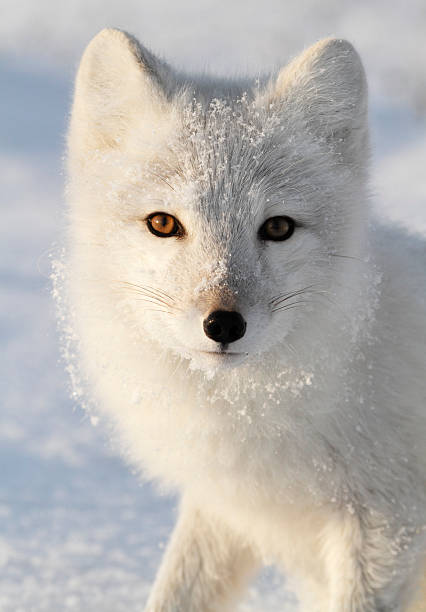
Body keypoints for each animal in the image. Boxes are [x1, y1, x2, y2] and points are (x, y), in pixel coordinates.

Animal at [63, 29, 426, 612]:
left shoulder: (384, 523)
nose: (224, 326)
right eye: (162, 223)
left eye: (277, 227)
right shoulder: (225, 506)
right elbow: (173, 593)